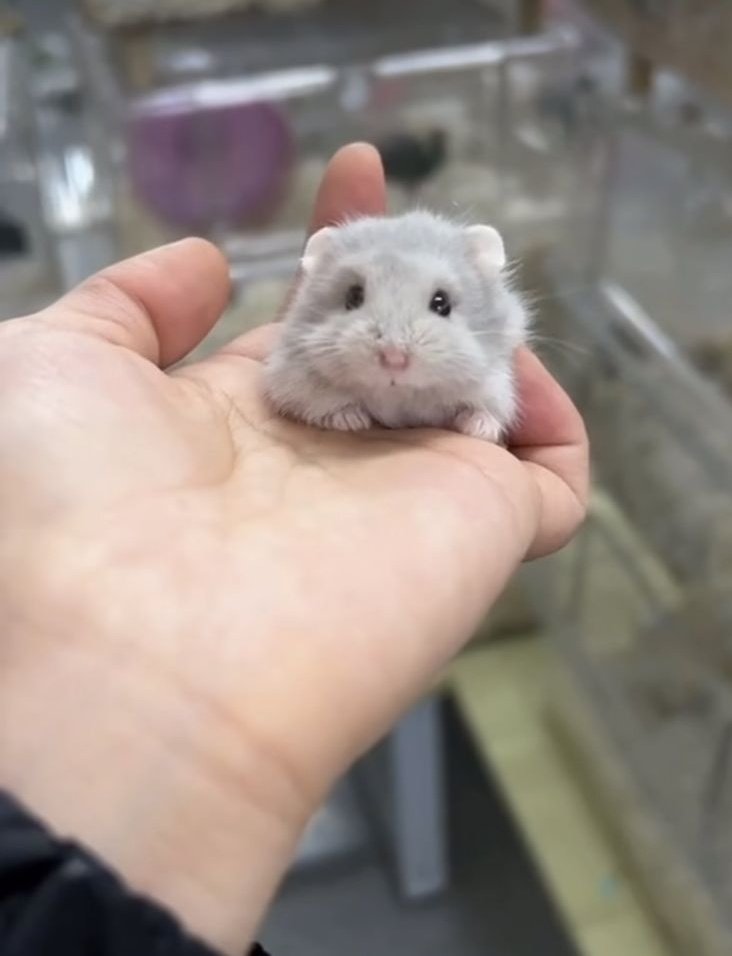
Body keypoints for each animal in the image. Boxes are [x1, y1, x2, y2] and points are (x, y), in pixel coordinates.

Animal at [263, 210, 529, 442]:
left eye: (441, 303)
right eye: (353, 297)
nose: (393, 358)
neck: (397, 394)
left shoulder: (496, 385)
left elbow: (486, 411)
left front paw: (478, 429)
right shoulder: (295, 382)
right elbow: (326, 406)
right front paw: (352, 421)